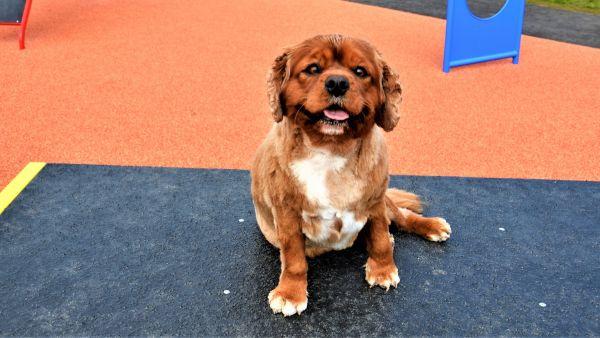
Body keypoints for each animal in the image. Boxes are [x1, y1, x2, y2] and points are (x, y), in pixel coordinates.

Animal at [248, 35, 450, 316]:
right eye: (313, 69)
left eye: (360, 71)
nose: (337, 83)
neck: (331, 150)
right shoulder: (286, 214)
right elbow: (294, 259)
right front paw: (290, 293)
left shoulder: (375, 202)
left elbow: (379, 239)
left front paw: (383, 269)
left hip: (387, 201)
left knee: (403, 216)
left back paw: (430, 226)